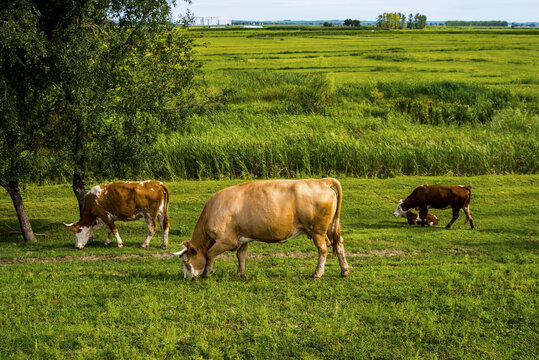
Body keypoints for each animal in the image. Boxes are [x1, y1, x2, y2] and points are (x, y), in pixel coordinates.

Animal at [172, 179, 350, 280]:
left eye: (186, 261)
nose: (187, 278)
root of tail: (321, 181)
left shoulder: (226, 241)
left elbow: (209, 254)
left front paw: (207, 273)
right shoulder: (242, 237)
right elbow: (241, 256)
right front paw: (240, 273)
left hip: (317, 231)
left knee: (323, 249)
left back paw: (317, 273)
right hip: (330, 226)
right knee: (339, 243)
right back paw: (344, 270)